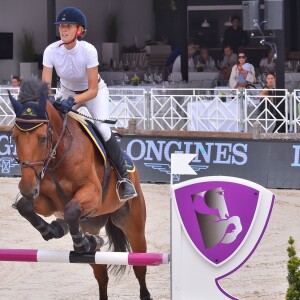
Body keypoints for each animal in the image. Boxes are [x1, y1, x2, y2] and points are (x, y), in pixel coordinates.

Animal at [8, 79, 151, 300]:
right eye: (14, 136)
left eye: (42, 138)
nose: (27, 188)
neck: (58, 155)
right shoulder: (47, 201)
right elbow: (26, 206)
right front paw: (52, 229)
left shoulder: (93, 194)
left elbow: (71, 210)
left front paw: (82, 242)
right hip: (91, 224)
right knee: (101, 275)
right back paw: (82, 237)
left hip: (133, 225)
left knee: (139, 267)